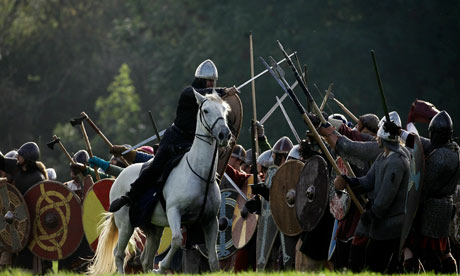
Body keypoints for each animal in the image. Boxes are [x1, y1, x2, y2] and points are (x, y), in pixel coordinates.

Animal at [88, 91, 232, 274]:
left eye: (224, 110)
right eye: (206, 110)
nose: (224, 135)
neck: (200, 174)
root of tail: (119, 176)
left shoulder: (210, 220)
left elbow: (213, 259)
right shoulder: (174, 212)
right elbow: (177, 240)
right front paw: (162, 268)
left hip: (153, 228)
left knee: (146, 259)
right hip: (126, 224)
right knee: (119, 254)